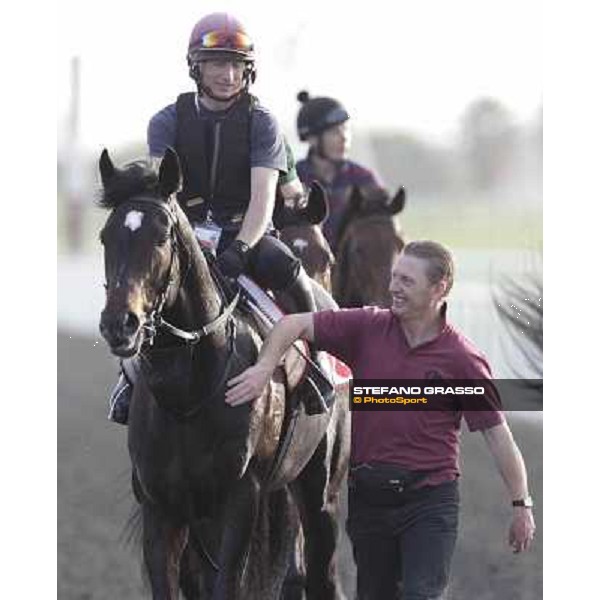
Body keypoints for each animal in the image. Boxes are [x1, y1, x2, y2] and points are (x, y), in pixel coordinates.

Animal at [96, 148, 350, 596]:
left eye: (161, 236)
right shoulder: (163, 509)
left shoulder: (238, 500)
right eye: (106, 237)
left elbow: (229, 582)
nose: (119, 324)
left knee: (322, 574)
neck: (188, 393)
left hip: (320, 493)